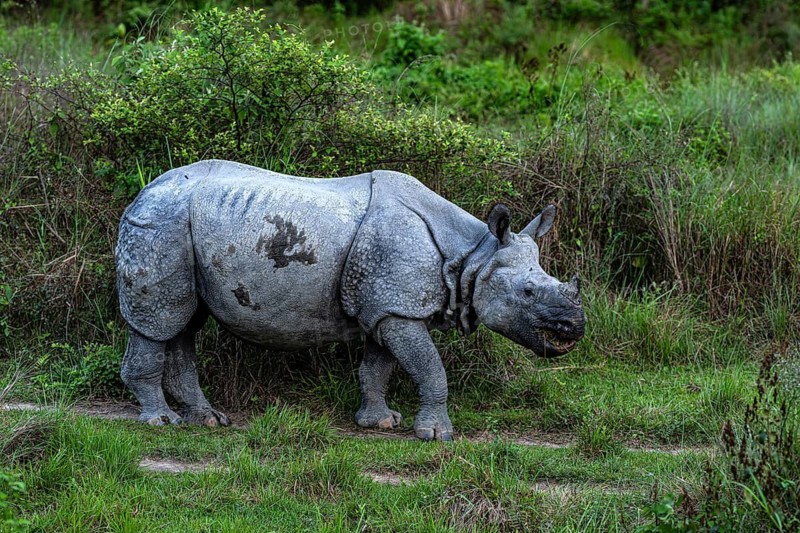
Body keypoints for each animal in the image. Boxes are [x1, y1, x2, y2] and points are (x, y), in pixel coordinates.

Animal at [116, 159, 585, 441]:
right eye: (527, 292)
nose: (575, 328)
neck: (472, 255)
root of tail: (142, 192)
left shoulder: (386, 306)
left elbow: (378, 367)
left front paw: (380, 422)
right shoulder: (397, 307)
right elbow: (430, 369)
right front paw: (437, 436)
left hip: (180, 226)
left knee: (184, 323)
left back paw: (208, 420)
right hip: (160, 224)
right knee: (159, 321)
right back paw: (161, 422)